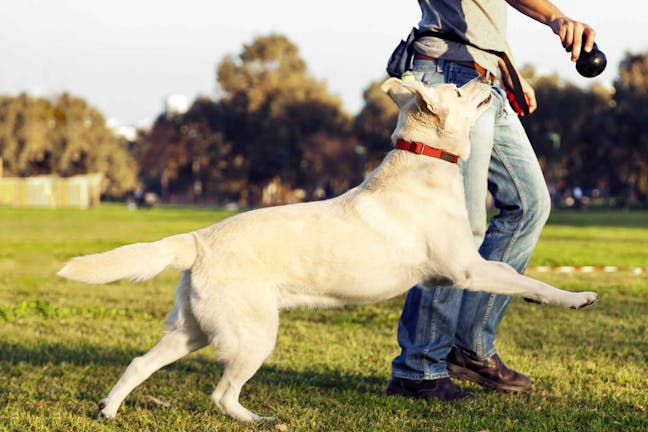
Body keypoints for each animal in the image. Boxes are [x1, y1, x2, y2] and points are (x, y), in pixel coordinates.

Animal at [58, 77, 600, 422]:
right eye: (460, 89)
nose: (490, 78)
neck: (424, 162)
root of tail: (198, 239)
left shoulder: (461, 271)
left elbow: (513, 278)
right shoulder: (466, 269)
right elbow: (526, 279)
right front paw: (576, 298)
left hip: (192, 331)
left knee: (138, 363)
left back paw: (109, 410)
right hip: (253, 336)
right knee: (221, 393)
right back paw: (257, 419)